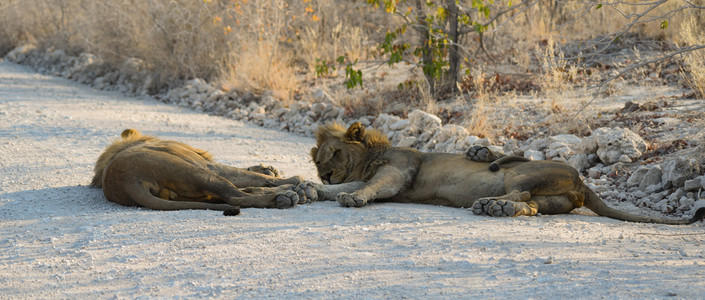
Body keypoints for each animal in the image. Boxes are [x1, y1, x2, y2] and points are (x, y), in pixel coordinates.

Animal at [91, 129, 316, 216]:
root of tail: (127, 181)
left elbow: (251, 177)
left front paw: (269, 171)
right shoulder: (209, 165)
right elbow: (247, 176)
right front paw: (294, 178)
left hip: (194, 189)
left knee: (232, 195)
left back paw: (291, 192)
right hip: (198, 172)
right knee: (236, 196)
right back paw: (288, 194)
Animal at [310, 122, 704, 225]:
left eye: (335, 153)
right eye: (317, 162)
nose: (325, 175)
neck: (371, 156)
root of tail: (582, 182)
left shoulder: (400, 170)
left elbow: (373, 186)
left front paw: (351, 196)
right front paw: (311, 190)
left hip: (522, 174)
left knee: (520, 192)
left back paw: (489, 203)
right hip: (553, 199)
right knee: (529, 206)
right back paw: (498, 208)